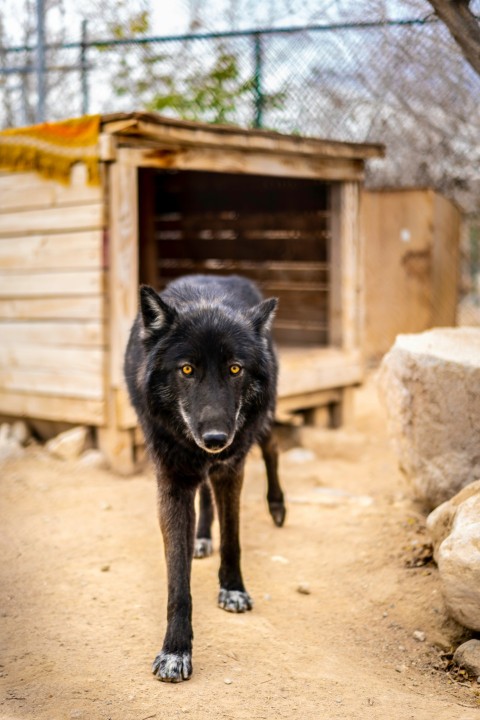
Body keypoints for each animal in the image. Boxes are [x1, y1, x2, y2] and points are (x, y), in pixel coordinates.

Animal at [125, 274, 286, 680]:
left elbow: (233, 538)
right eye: (186, 370)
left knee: (273, 447)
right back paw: (201, 537)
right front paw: (175, 650)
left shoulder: (231, 468)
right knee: (205, 493)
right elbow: (177, 580)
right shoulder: (172, 483)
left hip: (261, 422)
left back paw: (277, 506)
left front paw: (233, 589)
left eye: (235, 369)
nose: (215, 438)